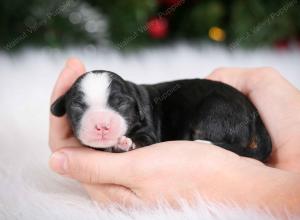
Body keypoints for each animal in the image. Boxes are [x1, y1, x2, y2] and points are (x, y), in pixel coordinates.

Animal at [51, 70, 272, 162]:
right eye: (77, 106)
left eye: (121, 103)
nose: (102, 126)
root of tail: (254, 112)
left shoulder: (149, 132)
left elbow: (142, 139)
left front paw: (125, 143)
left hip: (216, 110)